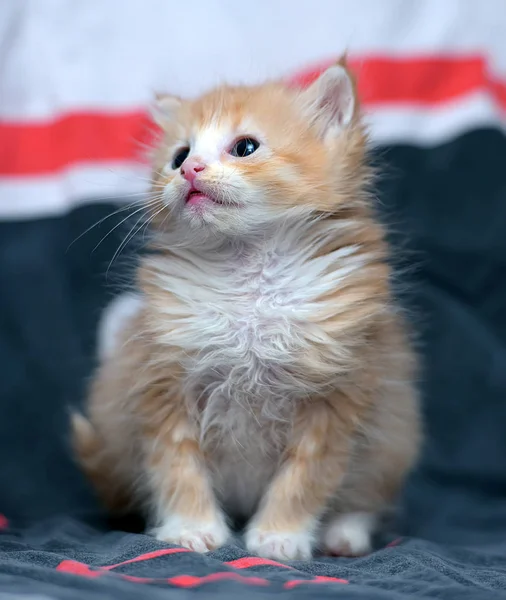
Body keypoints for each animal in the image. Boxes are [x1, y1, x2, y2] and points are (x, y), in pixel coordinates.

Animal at [71, 58, 420, 560]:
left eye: (245, 148)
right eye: (179, 155)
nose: (190, 169)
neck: (249, 276)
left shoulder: (341, 393)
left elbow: (307, 477)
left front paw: (279, 536)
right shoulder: (161, 380)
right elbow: (176, 464)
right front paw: (191, 528)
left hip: (393, 436)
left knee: (365, 495)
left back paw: (344, 534)